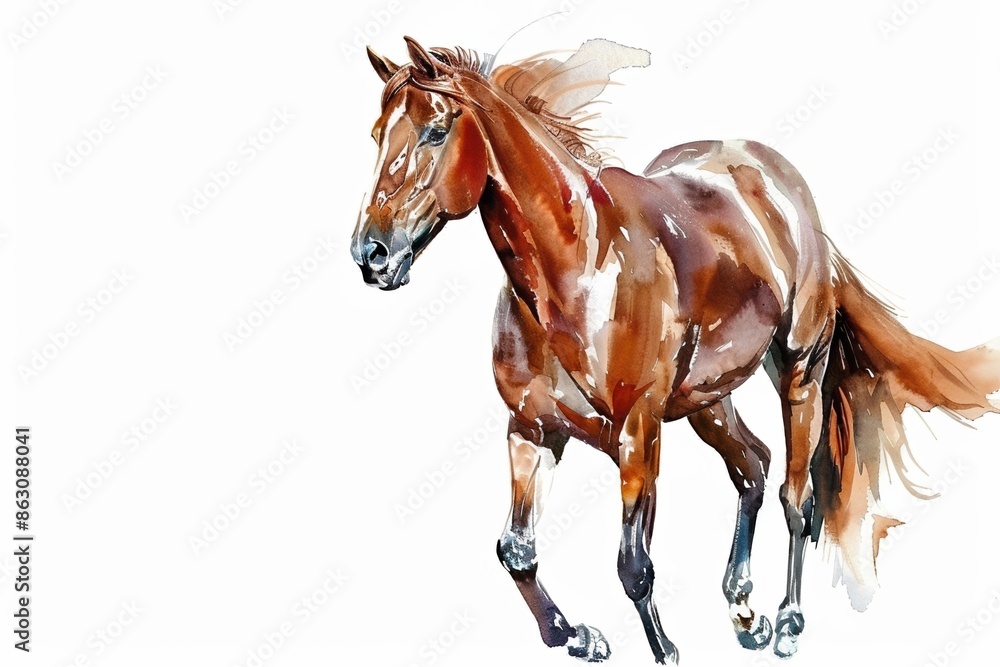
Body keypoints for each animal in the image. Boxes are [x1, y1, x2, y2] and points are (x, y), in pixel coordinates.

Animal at [351, 36, 1000, 663]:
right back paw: (745, 615)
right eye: (379, 134)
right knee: (753, 467)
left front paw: (663, 648)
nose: (371, 253)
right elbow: (516, 550)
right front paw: (578, 636)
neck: (578, 274)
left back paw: (788, 622)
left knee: (798, 495)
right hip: (705, 400)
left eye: (437, 130)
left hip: (799, 373)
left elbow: (633, 566)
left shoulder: (638, 433)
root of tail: (782, 187)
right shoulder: (532, 430)